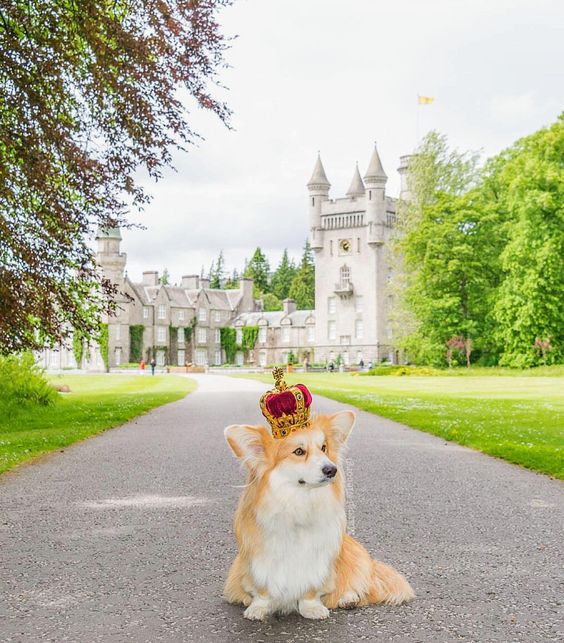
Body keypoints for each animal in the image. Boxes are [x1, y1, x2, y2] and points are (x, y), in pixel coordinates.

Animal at [224, 410, 414, 620]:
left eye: (324, 448)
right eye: (299, 451)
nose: (332, 470)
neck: (301, 500)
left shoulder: (318, 559)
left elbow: (311, 588)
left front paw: (312, 608)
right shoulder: (259, 559)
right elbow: (263, 590)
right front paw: (258, 608)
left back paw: (349, 598)